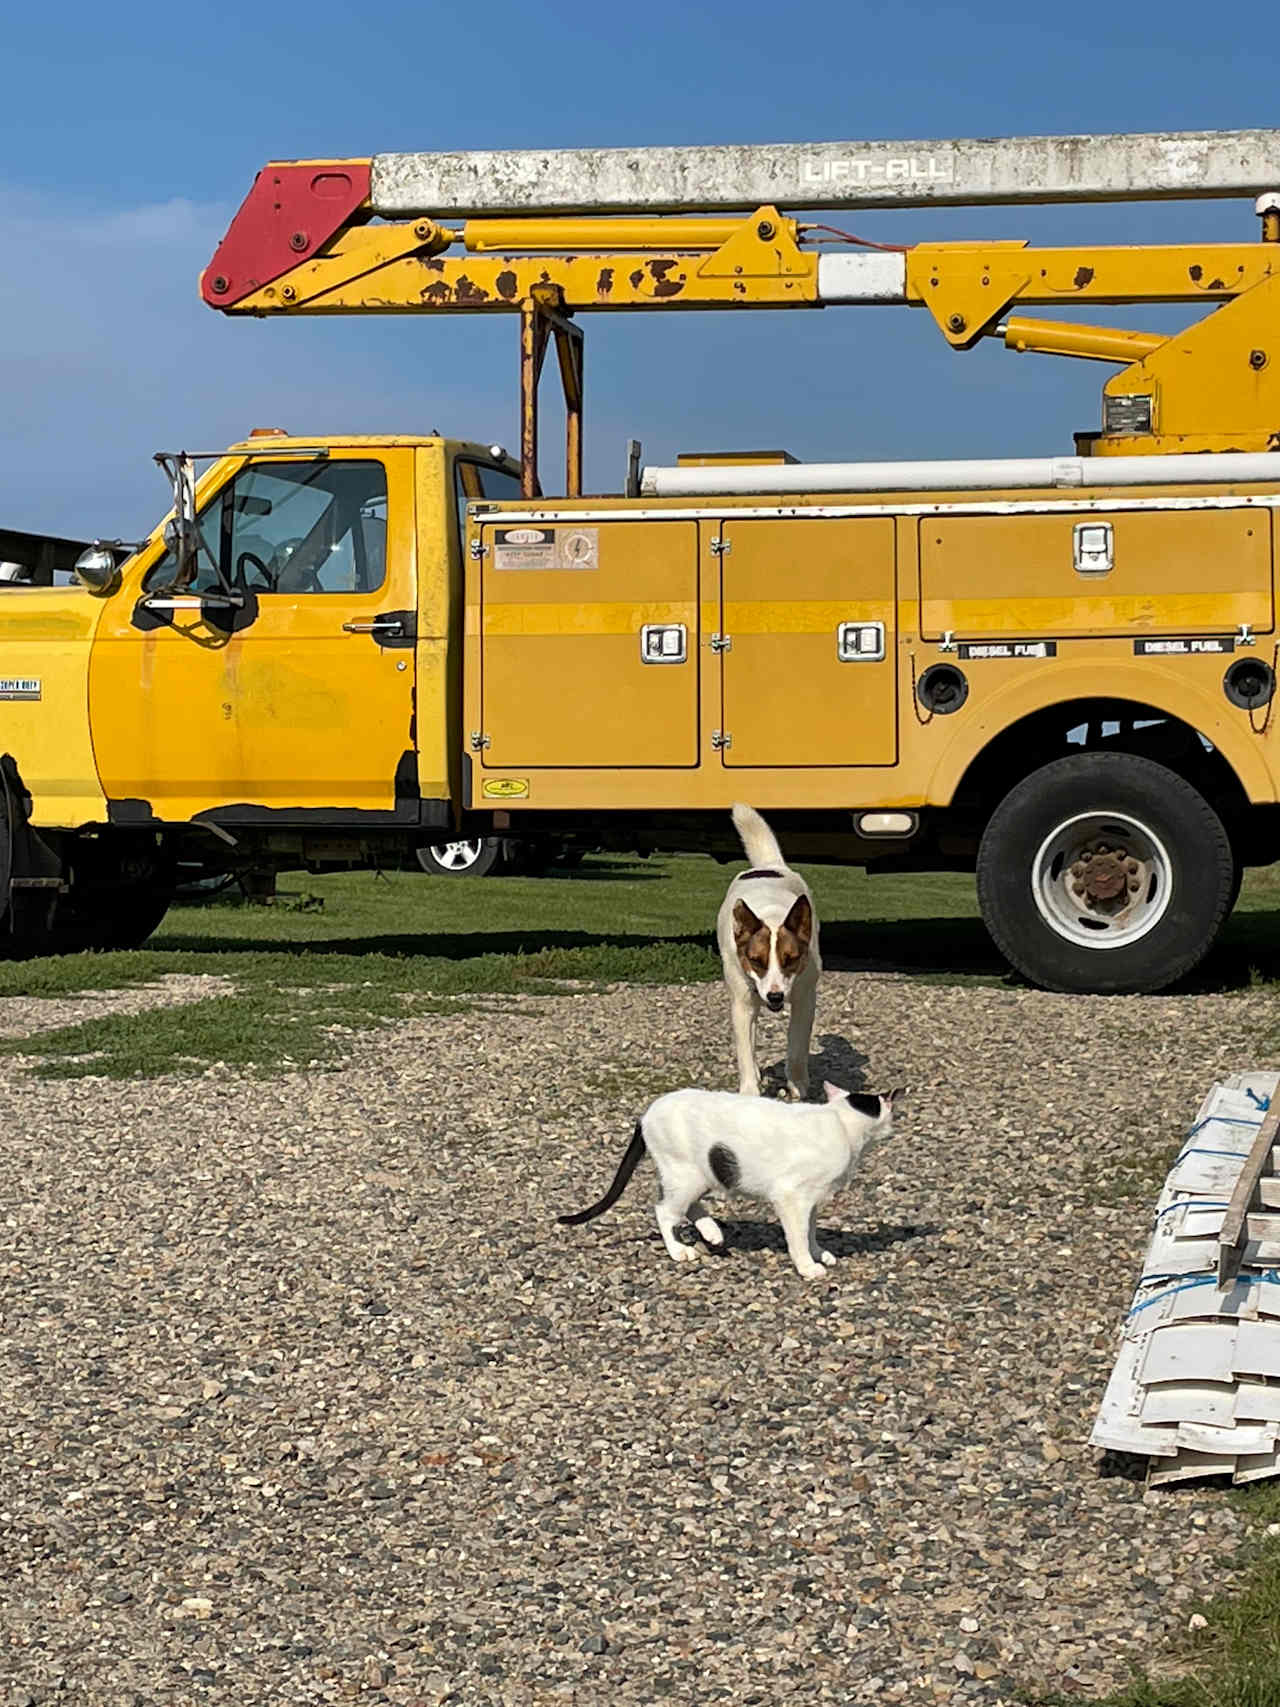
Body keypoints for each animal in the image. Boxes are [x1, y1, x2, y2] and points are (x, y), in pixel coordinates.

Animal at [559, 1085, 901, 1276]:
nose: (894, 1128)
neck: (841, 1122)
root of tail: (646, 1114)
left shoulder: (812, 1200)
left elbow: (811, 1230)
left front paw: (818, 1252)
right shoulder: (791, 1196)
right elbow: (798, 1236)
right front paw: (807, 1266)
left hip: (699, 1174)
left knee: (686, 1205)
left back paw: (711, 1233)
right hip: (688, 1174)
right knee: (665, 1210)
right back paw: (678, 1249)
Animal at [716, 805, 826, 1099]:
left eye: (791, 959)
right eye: (756, 960)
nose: (775, 996)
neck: (772, 916)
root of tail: (769, 865)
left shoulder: (804, 999)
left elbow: (797, 1048)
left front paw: (797, 1084)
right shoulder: (742, 1003)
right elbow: (745, 1049)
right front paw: (749, 1090)